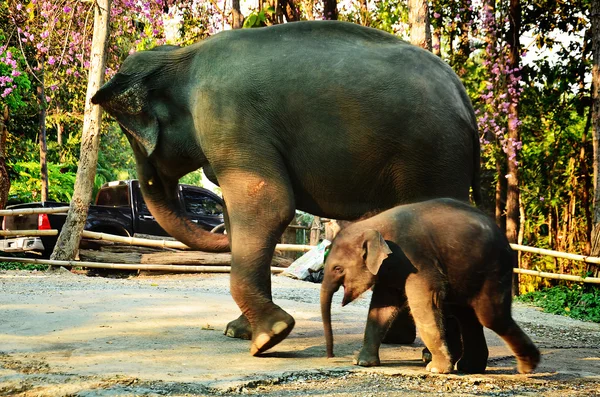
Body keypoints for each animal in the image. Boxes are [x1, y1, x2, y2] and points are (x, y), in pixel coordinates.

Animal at [91, 20, 480, 354]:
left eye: (132, 134)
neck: (183, 57)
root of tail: (462, 94)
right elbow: (245, 217)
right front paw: (238, 332)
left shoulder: (229, 117)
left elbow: (269, 207)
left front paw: (271, 336)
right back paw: (398, 341)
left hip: (433, 155)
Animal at [322, 198, 540, 374]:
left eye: (338, 268)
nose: (330, 356)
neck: (373, 223)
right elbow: (381, 308)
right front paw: (361, 362)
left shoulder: (417, 258)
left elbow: (423, 302)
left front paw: (436, 369)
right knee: (468, 317)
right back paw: (470, 367)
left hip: (494, 269)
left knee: (490, 316)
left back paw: (527, 367)